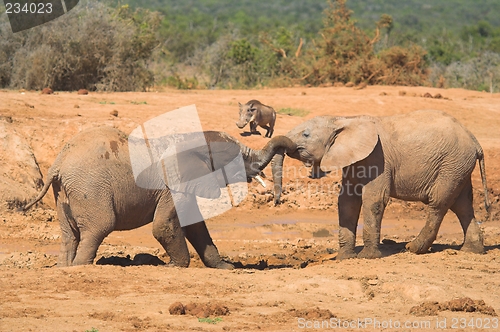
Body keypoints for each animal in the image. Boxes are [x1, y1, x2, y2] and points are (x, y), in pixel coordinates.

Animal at [24, 126, 296, 268]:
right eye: (235, 157)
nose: (295, 148)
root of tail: (58, 163)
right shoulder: (172, 188)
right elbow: (164, 226)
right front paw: (177, 267)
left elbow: (195, 226)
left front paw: (225, 268)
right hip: (90, 188)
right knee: (98, 228)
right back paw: (82, 267)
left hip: (64, 194)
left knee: (70, 235)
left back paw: (64, 268)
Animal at [272, 110, 490, 260]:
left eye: (306, 135)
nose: (276, 201)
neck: (344, 119)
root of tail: (475, 140)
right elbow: (347, 202)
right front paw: (344, 258)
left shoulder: (377, 158)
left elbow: (373, 200)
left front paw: (367, 257)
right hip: (458, 166)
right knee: (462, 205)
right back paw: (471, 251)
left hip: (451, 165)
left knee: (439, 204)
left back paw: (412, 249)